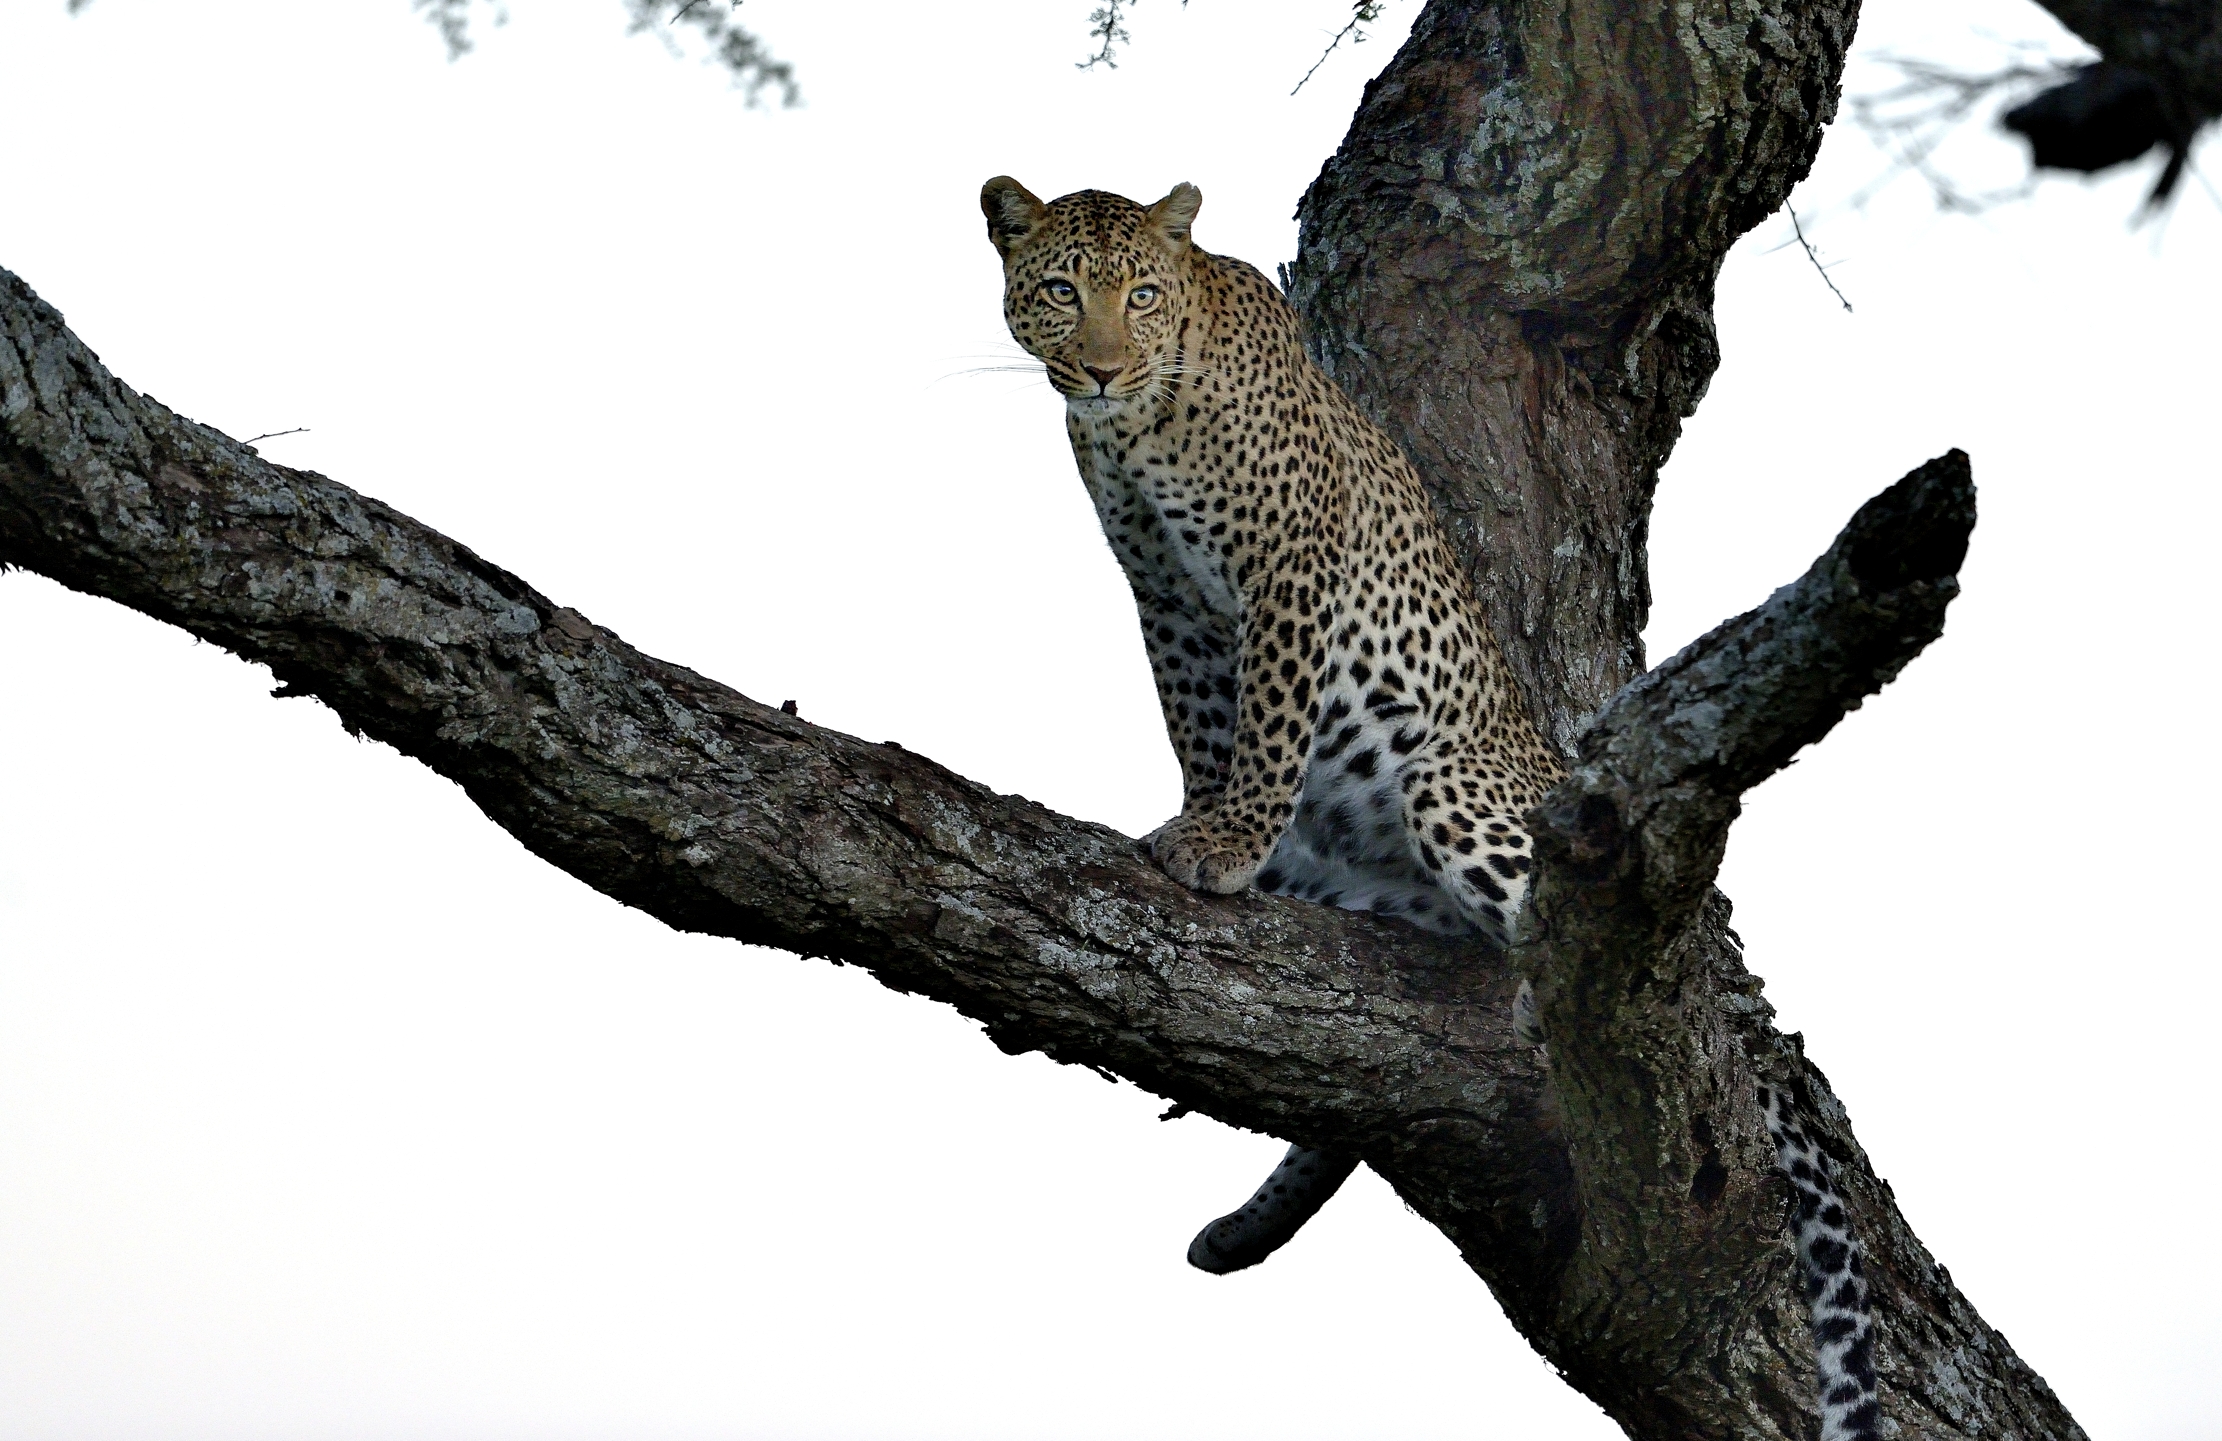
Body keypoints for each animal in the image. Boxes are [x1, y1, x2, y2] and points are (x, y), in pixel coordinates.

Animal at [982, 178, 1877, 1441]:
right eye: (1061, 289)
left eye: (1141, 293)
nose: (1102, 368)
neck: (1139, 422)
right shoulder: (1165, 599)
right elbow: (1201, 722)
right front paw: (1211, 828)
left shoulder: (1288, 563)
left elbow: (1267, 719)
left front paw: (1225, 842)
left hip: (1453, 789)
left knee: (1648, 981)